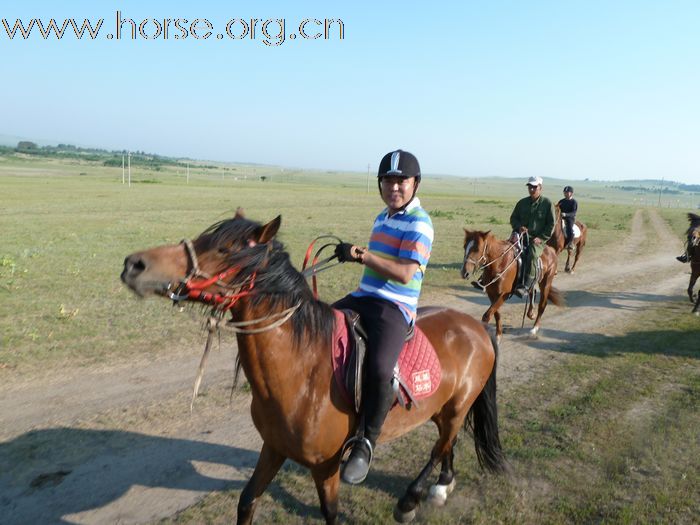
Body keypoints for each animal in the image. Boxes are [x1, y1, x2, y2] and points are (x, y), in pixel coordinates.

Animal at [119, 211, 504, 520]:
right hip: (442, 407)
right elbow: (247, 501)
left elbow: (330, 512)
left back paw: (411, 501)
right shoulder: (273, 448)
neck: (302, 372)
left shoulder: (325, 467)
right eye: (202, 239)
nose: (134, 265)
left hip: (458, 405)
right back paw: (443, 486)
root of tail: (477, 327)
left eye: (226, 250)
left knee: (441, 445)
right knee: (447, 443)